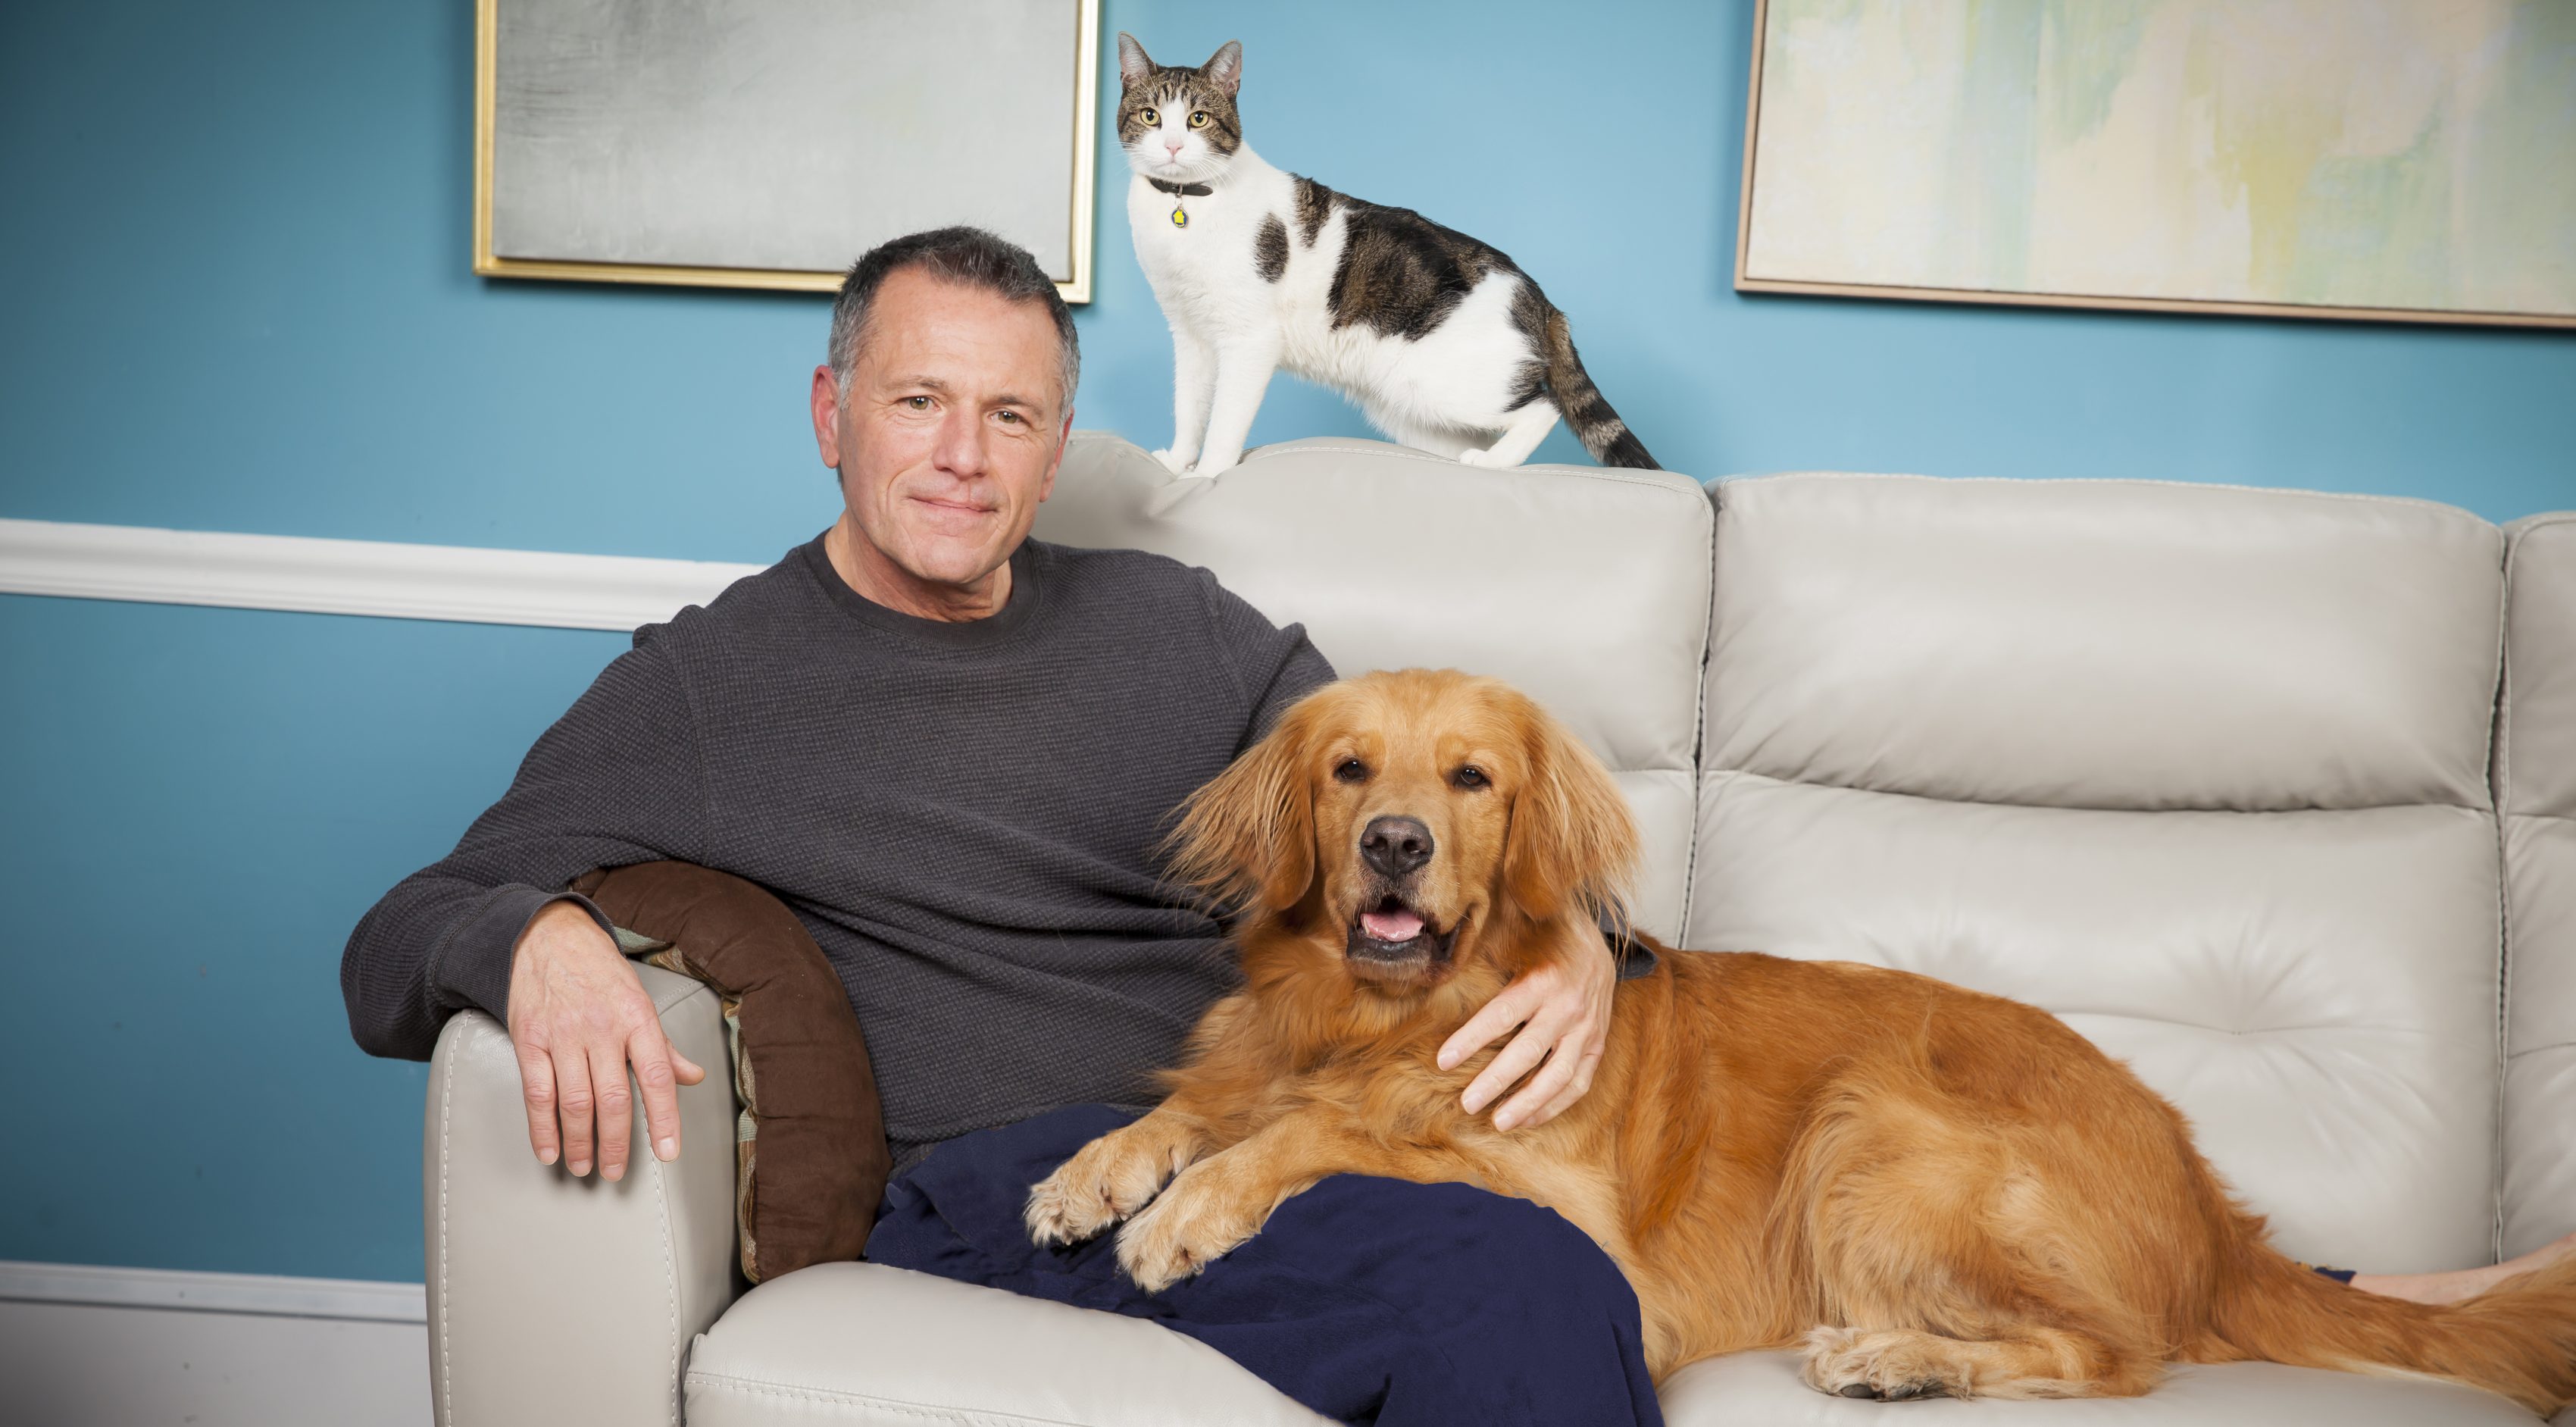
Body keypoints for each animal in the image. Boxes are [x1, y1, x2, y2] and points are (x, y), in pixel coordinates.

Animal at [1108, 30, 1649, 474]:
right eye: (1151, 116)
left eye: (1197, 119)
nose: (1173, 146)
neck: (1185, 206)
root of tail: (1540, 298)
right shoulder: (1189, 335)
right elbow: (1189, 408)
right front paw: (1177, 465)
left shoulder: (1248, 340)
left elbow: (1225, 419)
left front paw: (1209, 476)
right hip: (1412, 411)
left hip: (1444, 385)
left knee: (1543, 410)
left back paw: (1495, 463)